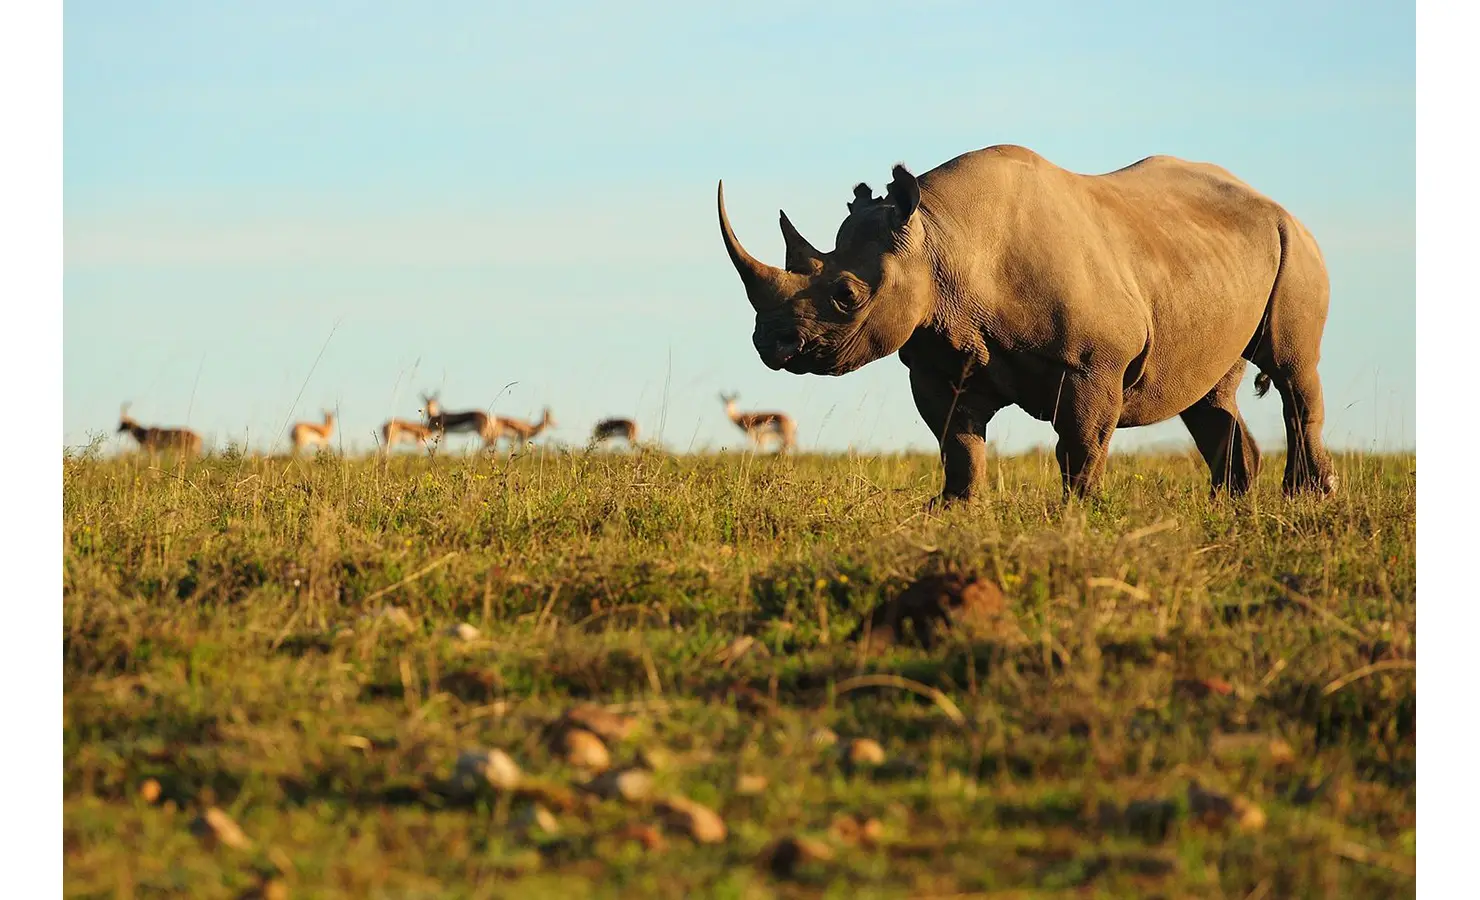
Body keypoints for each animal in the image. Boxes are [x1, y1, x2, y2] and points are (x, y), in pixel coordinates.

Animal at [717, 144, 1337, 505]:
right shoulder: (938, 357)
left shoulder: (1094, 362)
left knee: (1292, 373)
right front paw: (954, 509)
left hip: (1297, 245)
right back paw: (1231, 509)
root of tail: (1273, 202)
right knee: (1210, 395)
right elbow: (956, 442)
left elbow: (1081, 442)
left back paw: (1306, 500)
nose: (770, 344)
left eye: (847, 296)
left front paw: (1079, 513)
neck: (940, 238)